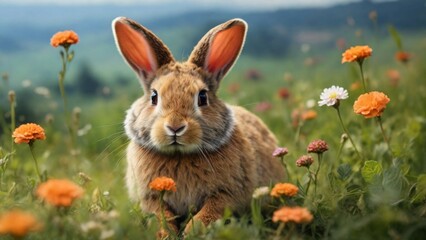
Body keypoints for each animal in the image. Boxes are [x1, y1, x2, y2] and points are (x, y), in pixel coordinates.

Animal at [113, 17, 286, 236]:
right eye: (154, 96)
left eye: (202, 97)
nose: (175, 127)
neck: (179, 155)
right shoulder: (149, 197)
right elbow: (160, 213)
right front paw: (166, 233)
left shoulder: (227, 193)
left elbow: (211, 210)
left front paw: (192, 231)